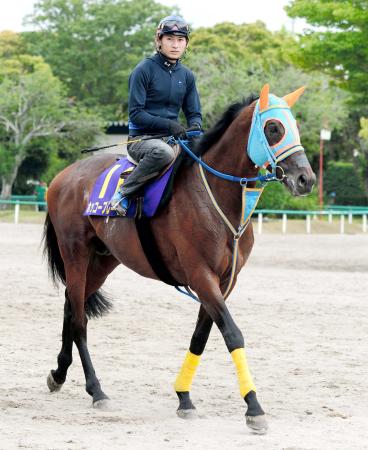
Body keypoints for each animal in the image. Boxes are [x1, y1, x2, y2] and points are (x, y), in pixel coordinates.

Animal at [43, 84, 316, 432]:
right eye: (273, 128)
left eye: (295, 125)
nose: (306, 179)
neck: (216, 198)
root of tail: (62, 177)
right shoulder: (201, 277)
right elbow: (232, 334)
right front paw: (254, 407)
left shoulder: (223, 283)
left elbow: (200, 337)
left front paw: (184, 397)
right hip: (75, 254)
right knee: (79, 319)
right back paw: (96, 390)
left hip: (104, 260)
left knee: (70, 304)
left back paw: (59, 373)